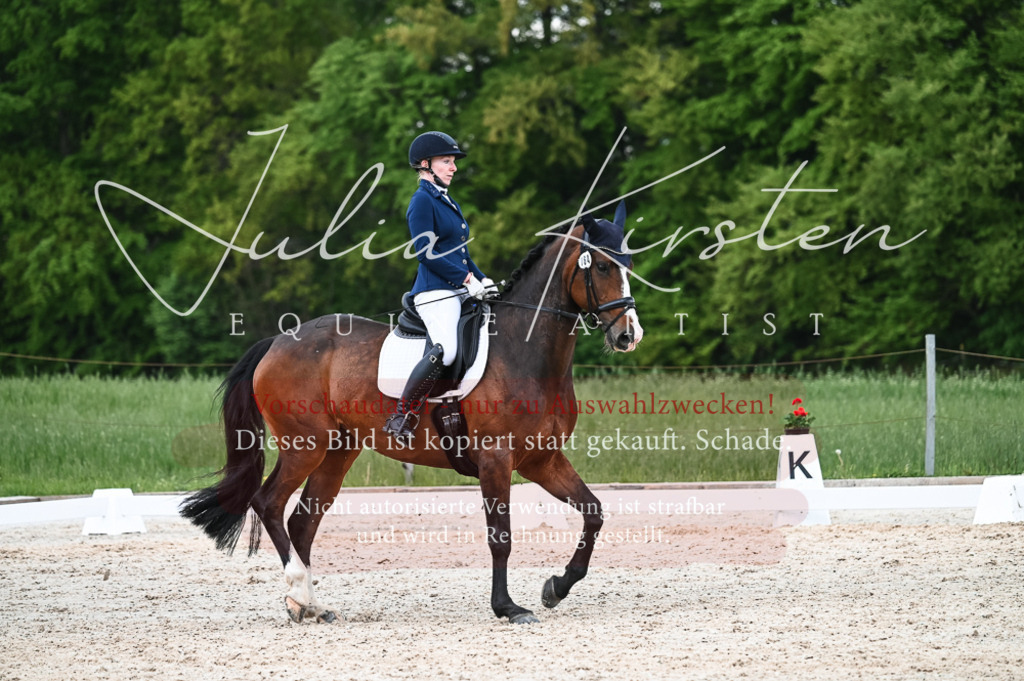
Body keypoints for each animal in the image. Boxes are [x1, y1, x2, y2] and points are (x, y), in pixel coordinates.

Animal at [180, 205, 644, 624]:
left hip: (338, 451)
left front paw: (556, 587)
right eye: (603, 266)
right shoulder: (496, 459)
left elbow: (594, 512)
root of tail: (277, 341)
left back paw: (311, 606)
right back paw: (298, 594)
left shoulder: (541, 460)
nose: (629, 336)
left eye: (630, 266)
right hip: (304, 446)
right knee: (269, 503)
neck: (524, 350)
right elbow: (501, 537)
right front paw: (508, 608)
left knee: (303, 520)